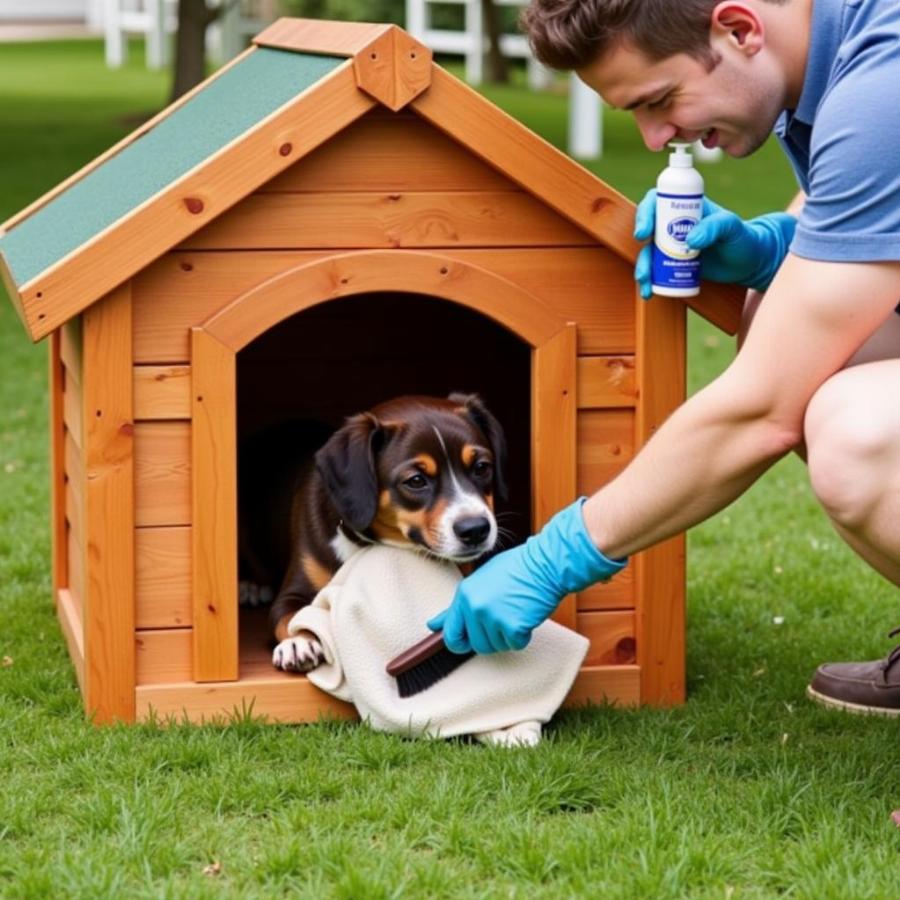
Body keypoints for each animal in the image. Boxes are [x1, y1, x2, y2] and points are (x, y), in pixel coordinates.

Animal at [239, 390, 506, 672]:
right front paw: (299, 641)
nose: (475, 529)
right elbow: (291, 616)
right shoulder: (292, 592)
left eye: (481, 467)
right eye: (416, 481)